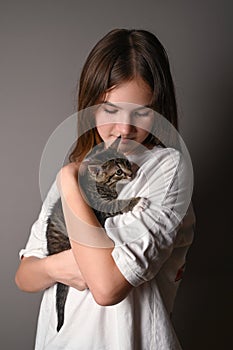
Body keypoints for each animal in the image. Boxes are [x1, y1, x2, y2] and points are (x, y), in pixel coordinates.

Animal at [45, 137, 144, 330]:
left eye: (127, 163)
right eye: (118, 172)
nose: (130, 174)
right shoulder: (101, 208)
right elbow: (116, 204)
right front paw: (134, 201)